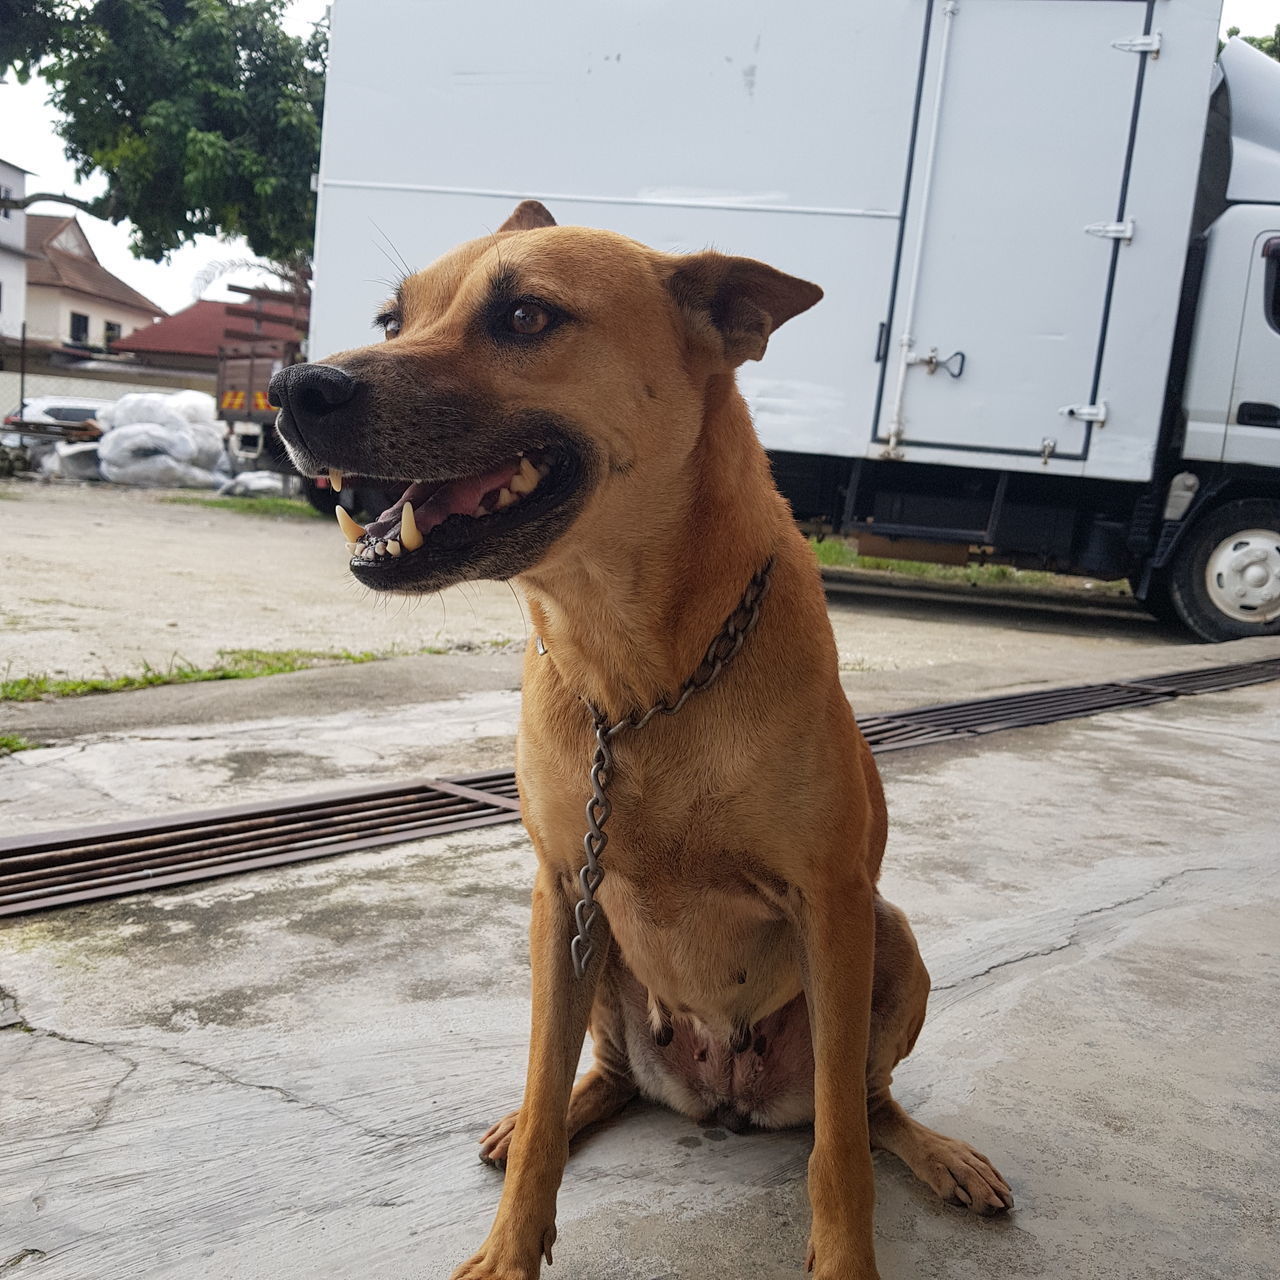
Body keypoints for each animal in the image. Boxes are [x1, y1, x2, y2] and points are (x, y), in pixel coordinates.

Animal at [270, 202, 1008, 1280]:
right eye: (393, 317)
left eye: (526, 315)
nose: (292, 388)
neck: (636, 673)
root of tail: (721, 1092)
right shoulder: (561, 887)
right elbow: (541, 1090)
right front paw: (510, 1244)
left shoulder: (830, 901)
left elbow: (837, 1148)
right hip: (602, 951)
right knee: (598, 1074)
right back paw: (552, 1113)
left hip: (888, 939)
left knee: (866, 1106)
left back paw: (937, 1152)